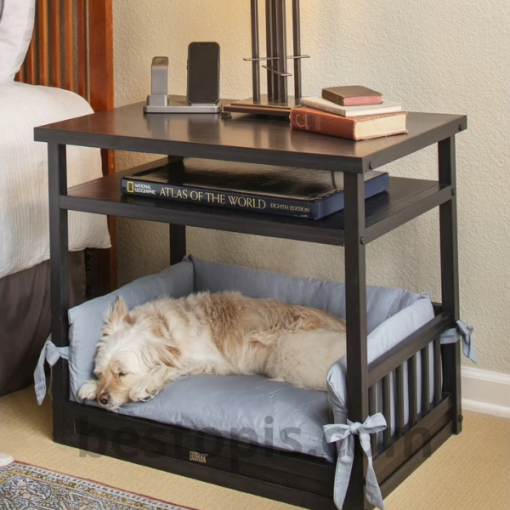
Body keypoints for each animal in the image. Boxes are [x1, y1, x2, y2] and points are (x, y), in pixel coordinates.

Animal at [77, 292, 346, 408]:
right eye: (100, 373)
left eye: (123, 374)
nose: (103, 399)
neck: (162, 327)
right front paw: (90, 386)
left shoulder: (210, 361)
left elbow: (166, 367)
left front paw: (145, 385)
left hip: (287, 352)